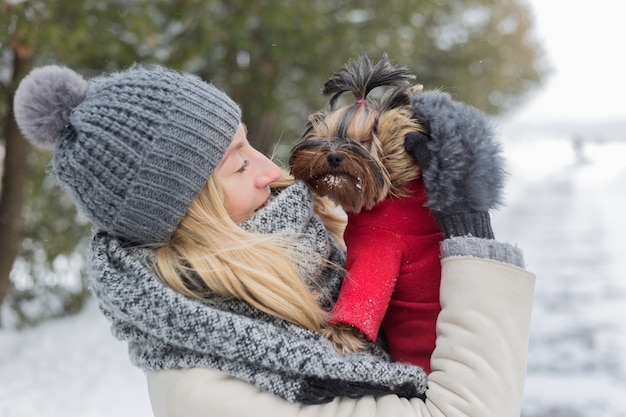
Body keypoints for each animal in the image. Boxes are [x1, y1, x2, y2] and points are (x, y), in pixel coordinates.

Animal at [288, 55, 442, 370]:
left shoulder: (378, 253)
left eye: (363, 141)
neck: (390, 198)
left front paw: (339, 337)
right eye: (324, 137)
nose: (334, 156)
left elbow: (361, 298)